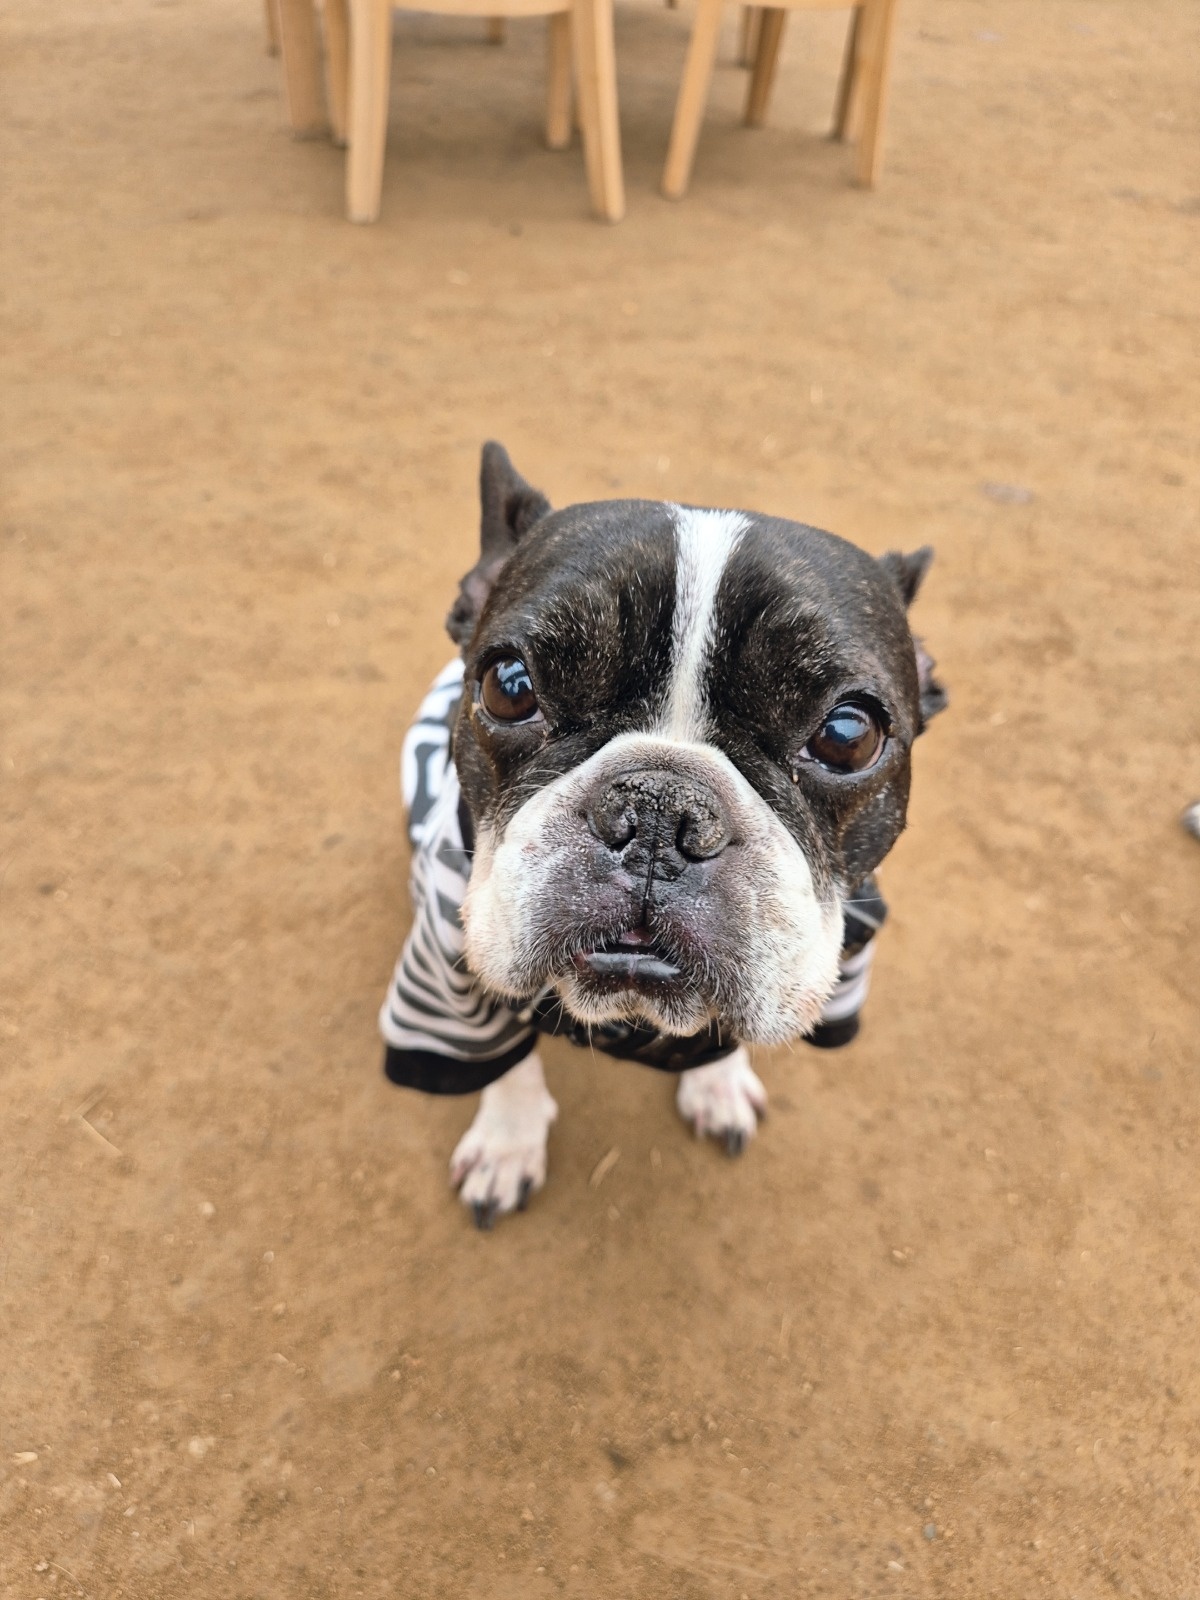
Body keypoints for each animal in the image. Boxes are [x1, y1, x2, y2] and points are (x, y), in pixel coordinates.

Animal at [380, 444, 947, 1216]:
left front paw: (718, 1083)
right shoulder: (447, 986)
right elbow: (504, 1065)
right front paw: (507, 1144)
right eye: (510, 686)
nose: (658, 810)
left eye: (847, 736)